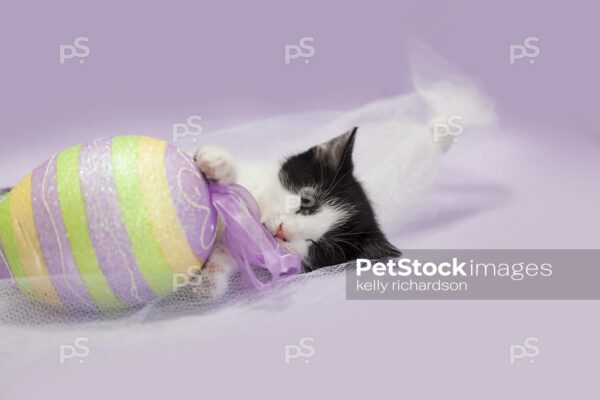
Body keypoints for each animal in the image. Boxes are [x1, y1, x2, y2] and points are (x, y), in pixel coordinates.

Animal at [196, 128, 398, 296]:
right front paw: (219, 164)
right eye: (306, 202)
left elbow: (228, 255)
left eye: (319, 246)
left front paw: (211, 280)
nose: (282, 232)